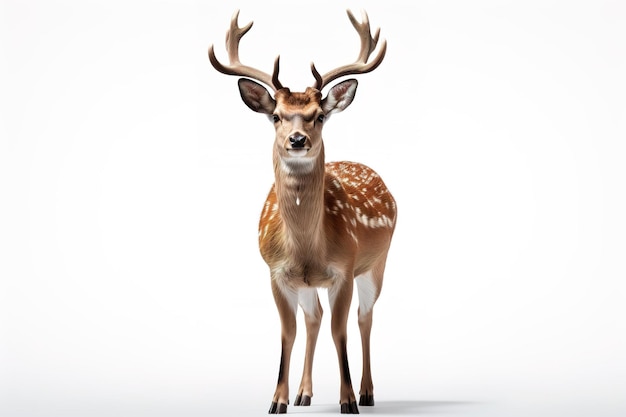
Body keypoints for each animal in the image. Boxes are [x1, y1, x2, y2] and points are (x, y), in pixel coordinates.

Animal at [208, 8, 394, 412]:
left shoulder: (343, 268)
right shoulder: (277, 273)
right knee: (314, 319)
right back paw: (304, 394)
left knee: (365, 318)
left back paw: (368, 392)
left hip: (378, 261)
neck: (309, 249)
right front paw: (278, 400)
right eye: (276, 115)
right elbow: (288, 332)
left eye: (319, 115)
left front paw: (348, 400)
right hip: (310, 283)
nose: (297, 140)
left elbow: (341, 331)